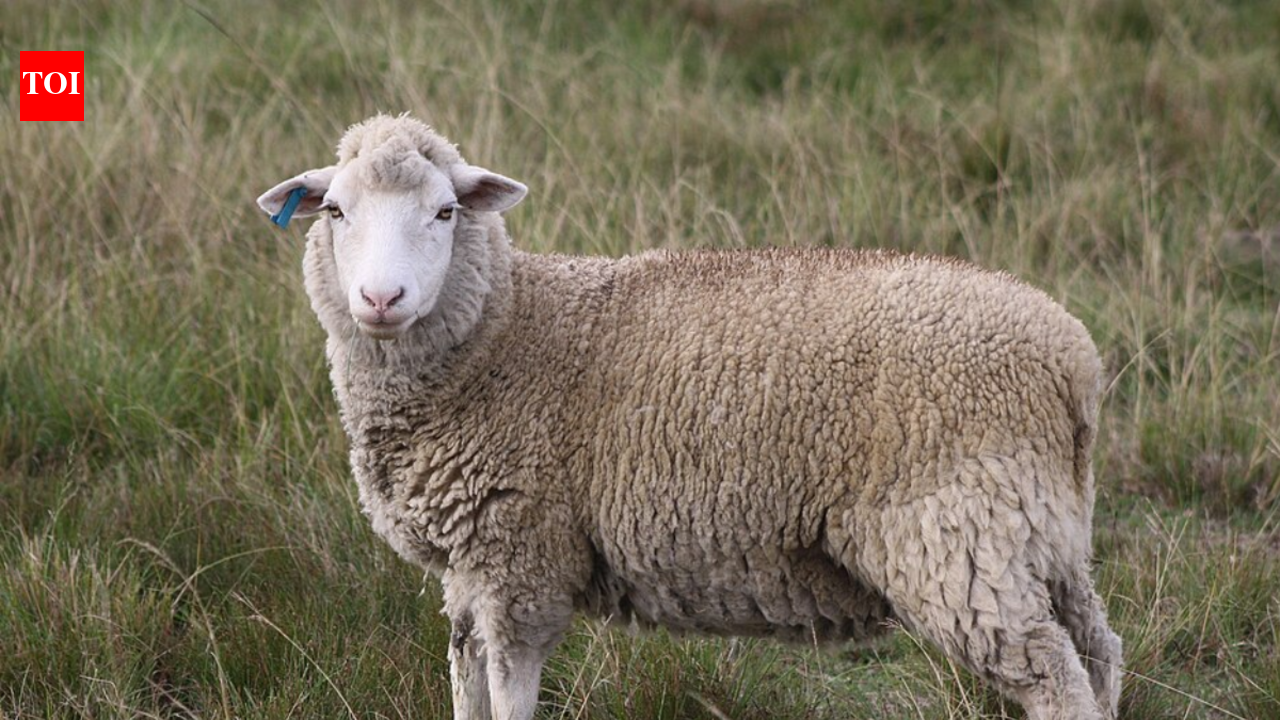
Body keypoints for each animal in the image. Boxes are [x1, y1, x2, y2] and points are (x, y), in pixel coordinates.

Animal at [256, 113, 1122, 720]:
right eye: (334, 212)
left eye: (443, 213)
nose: (382, 299)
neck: (505, 334)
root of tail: (1071, 360)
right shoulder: (471, 569)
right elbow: (465, 685)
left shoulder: (522, 562)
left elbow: (508, 696)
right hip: (1042, 538)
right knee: (1100, 654)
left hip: (958, 536)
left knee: (1054, 677)